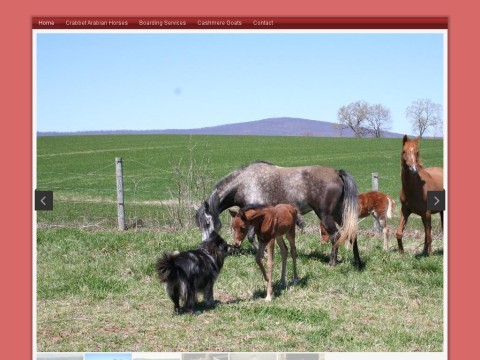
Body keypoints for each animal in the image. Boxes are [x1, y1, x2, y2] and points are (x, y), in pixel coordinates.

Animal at [195, 162, 360, 266]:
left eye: (208, 223)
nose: (204, 246)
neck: (243, 183)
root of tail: (337, 173)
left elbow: (251, 237)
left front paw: (264, 254)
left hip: (325, 215)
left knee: (336, 236)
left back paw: (332, 262)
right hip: (339, 213)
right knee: (352, 232)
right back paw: (357, 261)